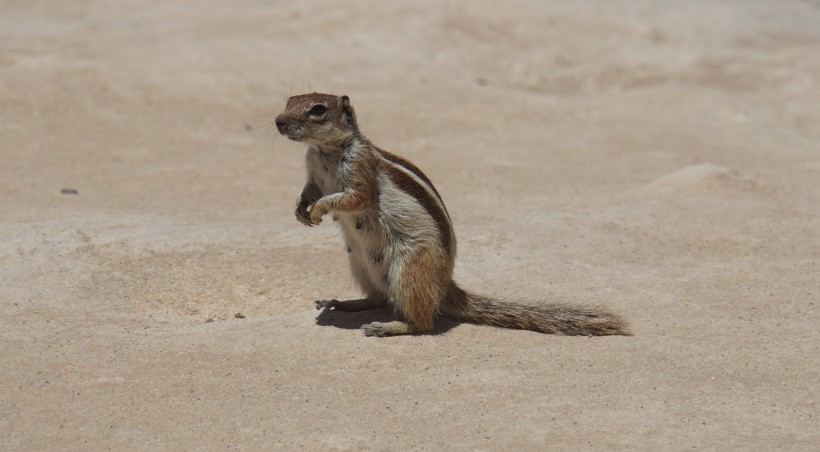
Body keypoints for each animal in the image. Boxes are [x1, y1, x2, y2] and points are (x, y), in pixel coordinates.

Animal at [272, 92, 632, 338]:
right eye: (289, 100)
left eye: (318, 110)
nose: (278, 121)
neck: (325, 152)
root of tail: (444, 283)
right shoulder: (312, 172)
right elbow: (309, 190)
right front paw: (300, 209)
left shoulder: (361, 172)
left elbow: (353, 198)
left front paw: (320, 208)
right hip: (358, 263)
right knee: (377, 296)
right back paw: (346, 303)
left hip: (410, 270)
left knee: (422, 321)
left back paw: (389, 327)